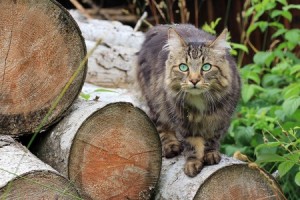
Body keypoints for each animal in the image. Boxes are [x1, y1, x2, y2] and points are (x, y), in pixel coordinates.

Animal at [136, 24, 241, 177]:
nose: (194, 80)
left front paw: (210, 155)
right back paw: (171, 147)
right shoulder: (183, 122)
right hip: (156, 101)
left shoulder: (220, 119)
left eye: (206, 67)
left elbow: (212, 139)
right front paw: (193, 163)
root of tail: (159, 27)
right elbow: (192, 144)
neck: (200, 100)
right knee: (161, 126)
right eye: (183, 67)